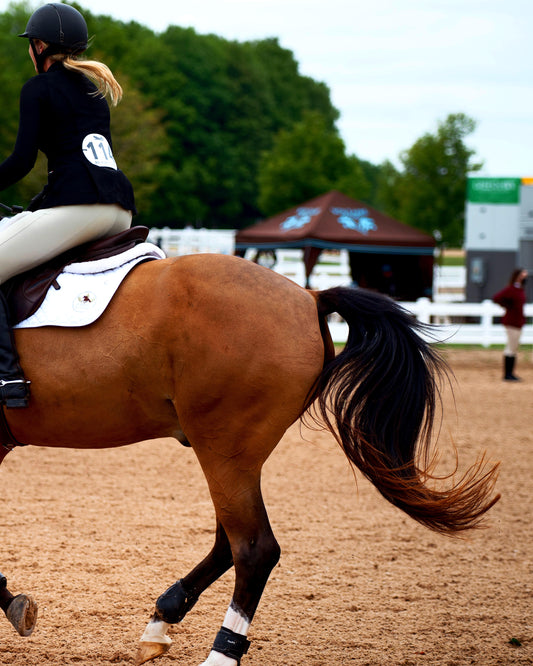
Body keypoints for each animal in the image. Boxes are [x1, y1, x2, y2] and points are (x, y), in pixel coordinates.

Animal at [0, 252, 498, 660]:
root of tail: (309, 296)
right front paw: (13, 602)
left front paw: (10, 601)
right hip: (232, 456)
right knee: (230, 543)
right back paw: (161, 621)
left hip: (223, 450)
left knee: (254, 549)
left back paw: (219, 653)